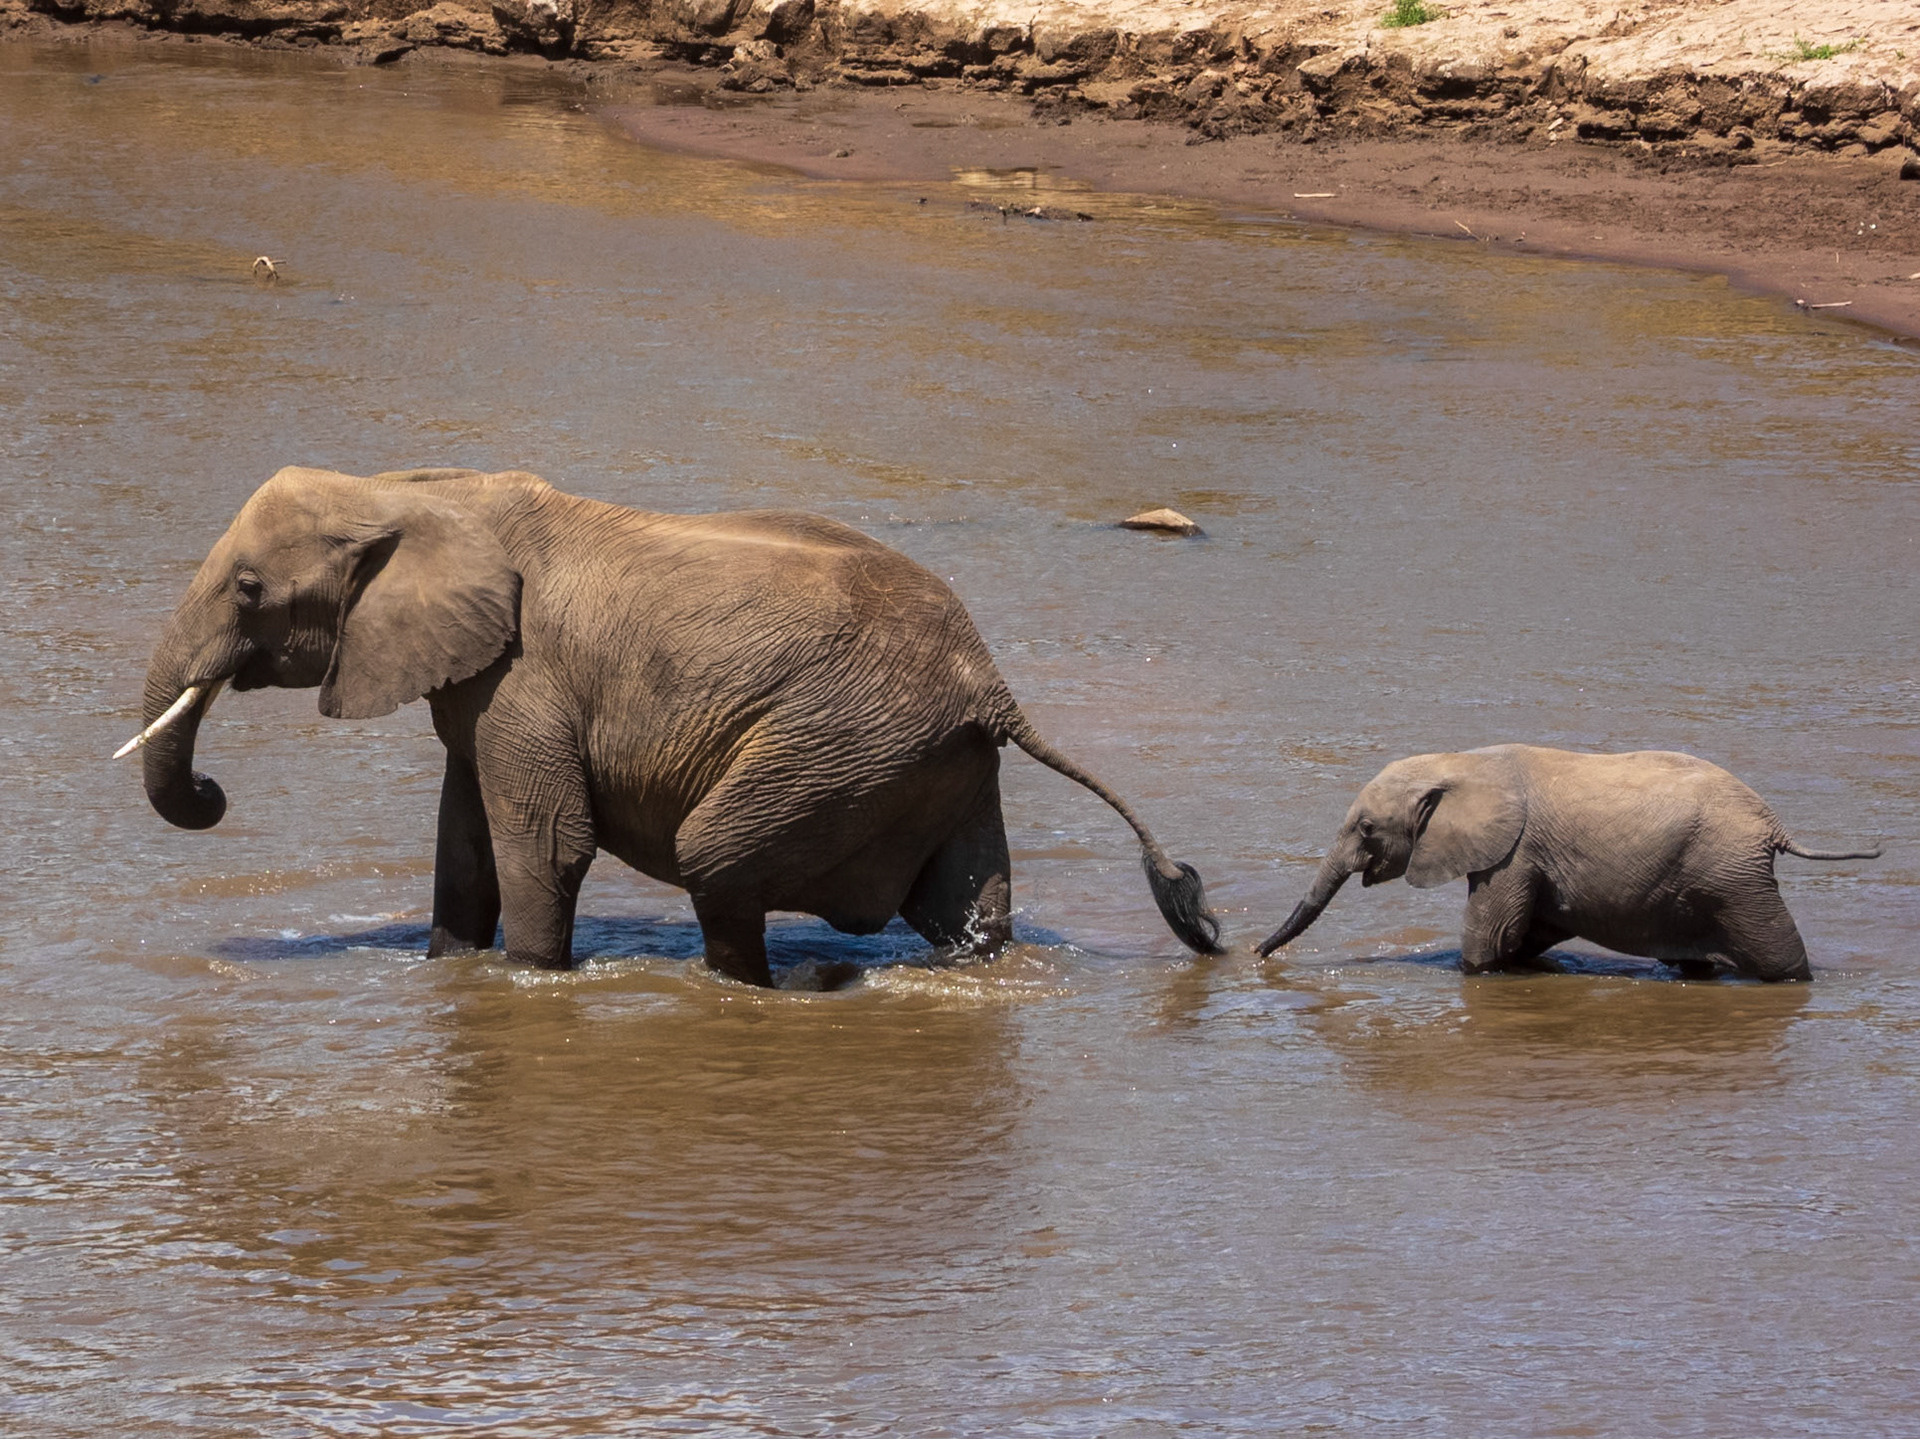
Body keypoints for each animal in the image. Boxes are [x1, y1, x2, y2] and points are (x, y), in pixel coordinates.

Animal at [118, 466, 1223, 985]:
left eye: (249, 589)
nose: (210, 791)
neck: (414, 488)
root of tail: (991, 680)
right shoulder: (481, 683)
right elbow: (465, 846)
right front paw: (449, 973)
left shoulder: (527, 676)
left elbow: (542, 845)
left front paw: (530, 982)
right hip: (929, 759)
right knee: (966, 905)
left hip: (843, 741)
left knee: (717, 857)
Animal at [1255, 745, 1881, 982]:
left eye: (1366, 829)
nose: (1256, 956)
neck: (1462, 761)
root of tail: (1773, 824)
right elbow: (1528, 932)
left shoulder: (1514, 852)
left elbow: (1494, 936)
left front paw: (1475, 971)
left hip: (1733, 877)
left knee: (1782, 956)